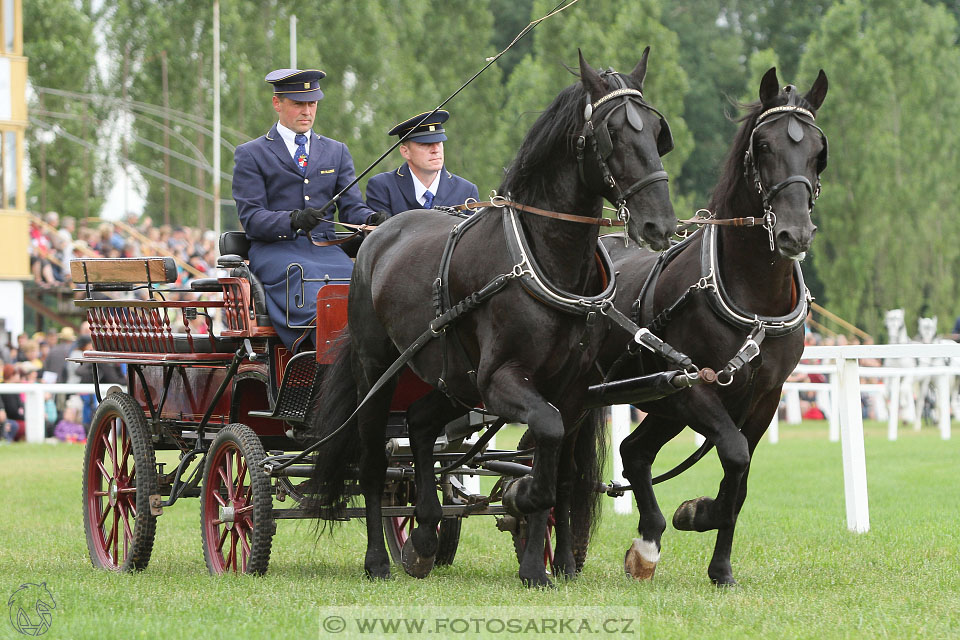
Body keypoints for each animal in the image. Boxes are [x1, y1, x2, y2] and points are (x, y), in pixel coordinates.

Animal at [312, 50, 680, 588]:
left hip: (453, 379)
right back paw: (378, 559)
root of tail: (376, 235)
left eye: (656, 131)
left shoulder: (572, 389)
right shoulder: (502, 378)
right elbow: (545, 442)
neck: (546, 258)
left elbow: (559, 471)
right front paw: (522, 502)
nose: (660, 224)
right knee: (376, 460)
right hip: (378, 369)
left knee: (420, 425)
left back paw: (424, 536)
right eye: (612, 133)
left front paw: (541, 564)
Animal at [588, 69, 828, 584]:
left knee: (635, 451)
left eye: (819, 149)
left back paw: (647, 542)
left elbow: (740, 479)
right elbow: (734, 456)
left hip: (661, 402)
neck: (754, 297)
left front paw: (720, 566)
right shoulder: (695, 387)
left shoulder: (764, 397)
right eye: (763, 146)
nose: (795, 233)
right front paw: (697, 513)